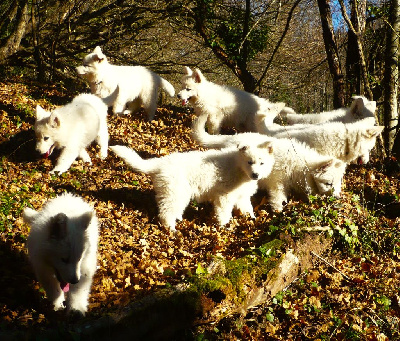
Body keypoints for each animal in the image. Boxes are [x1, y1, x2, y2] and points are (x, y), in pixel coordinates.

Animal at [111, 142, 276, 230]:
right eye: (250, 162)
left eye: (262, 163)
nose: (256, 175)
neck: (239, 168)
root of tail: (159, 163)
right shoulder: (224, 196)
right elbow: (224, 212)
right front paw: (223, 226)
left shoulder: (242, 196)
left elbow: (247, 208)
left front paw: (252, 219)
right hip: (175, 192)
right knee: (166, 212)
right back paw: (171, 229)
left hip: (179, 193)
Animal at [189, 128, 346, 212]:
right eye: (328, 183)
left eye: (338, 184)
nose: (338, 197)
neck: (300, 165)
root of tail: (231, 138)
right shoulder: (277, 183)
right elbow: (278, 199)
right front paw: (278, 211)